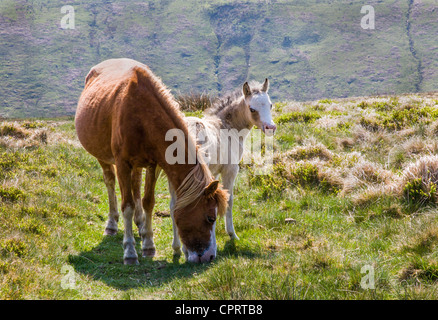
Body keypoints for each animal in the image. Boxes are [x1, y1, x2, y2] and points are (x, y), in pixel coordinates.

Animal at [75, 58, 228, 264]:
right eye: (211, 218)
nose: (210, 256)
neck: (141, 115)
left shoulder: (152, 165)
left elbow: (148, 201)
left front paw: (148, 244)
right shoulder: (122, 164)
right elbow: (127, 206)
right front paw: (130, 252)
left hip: (137, 165)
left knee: (136, 185)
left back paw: (140, 224)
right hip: (103, 157)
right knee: (110, 182)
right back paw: (112, 224)